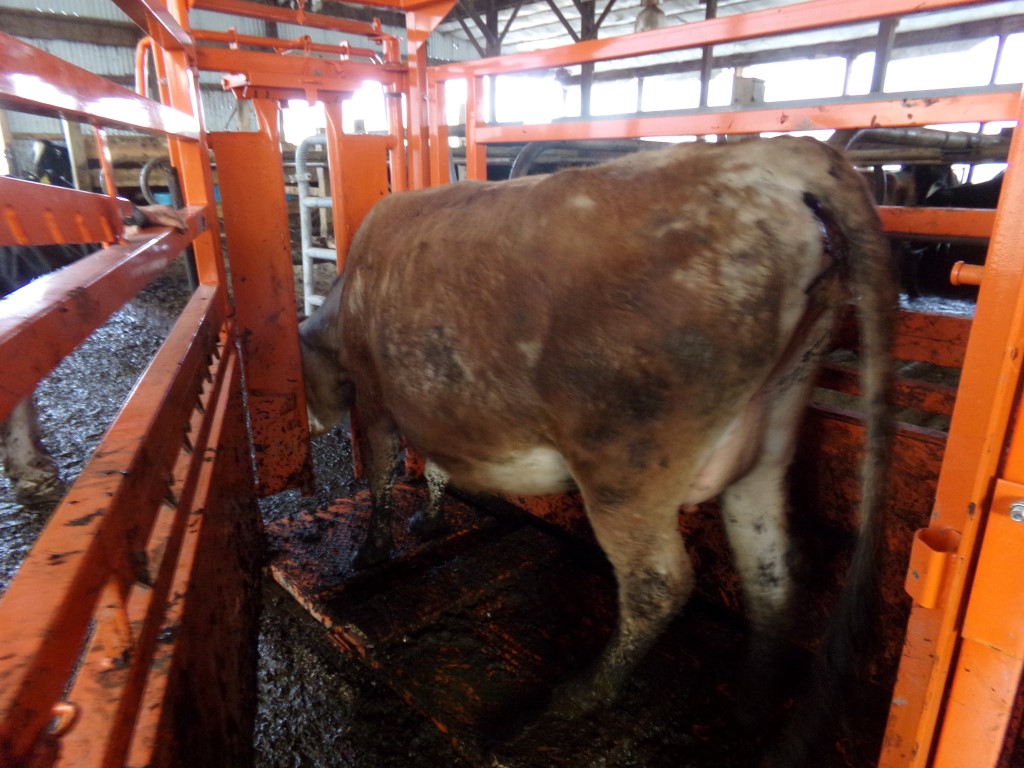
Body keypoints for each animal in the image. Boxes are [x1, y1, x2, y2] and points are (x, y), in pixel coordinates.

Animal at [299, 136, 895, 753]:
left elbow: (381, 472)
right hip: (770, 433)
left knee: (658, 583)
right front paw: (428, 519)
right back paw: (750, 707)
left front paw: (371, 550)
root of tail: (772, 154)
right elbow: (436, 466)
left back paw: (581, 695)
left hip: (625, 462)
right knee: (770, 572)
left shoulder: (374, 395)